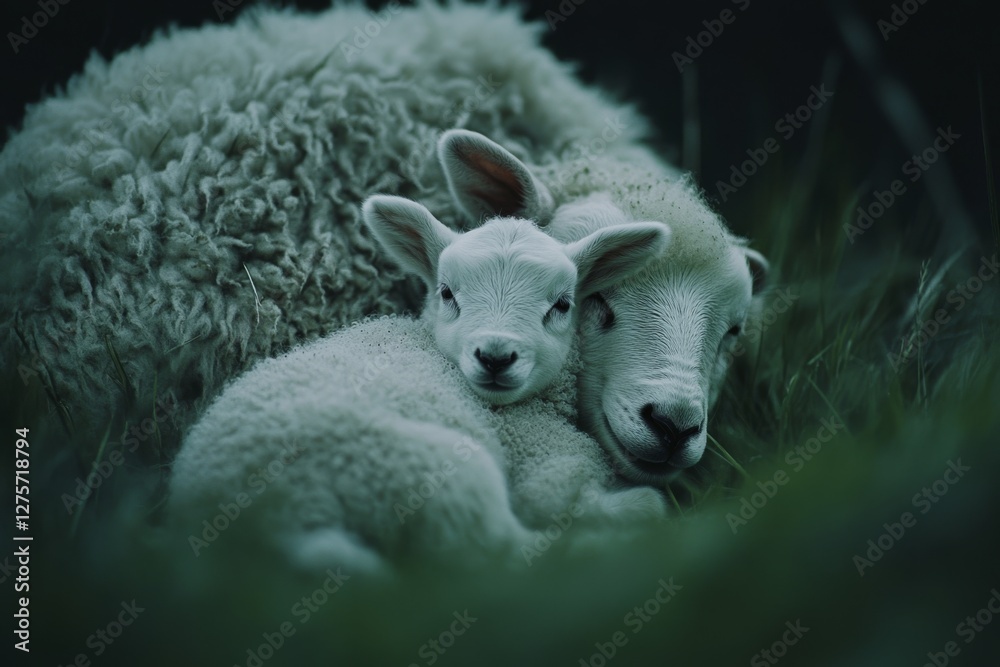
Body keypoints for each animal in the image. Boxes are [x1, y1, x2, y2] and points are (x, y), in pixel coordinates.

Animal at [167, 192, 672, 571]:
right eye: (447, 293)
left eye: (562, 305)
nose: (495, 356)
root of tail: (279, 520)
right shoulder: (546, 468)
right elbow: (595, 506)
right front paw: (639, 510)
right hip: (435, 474)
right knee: (501, 553)